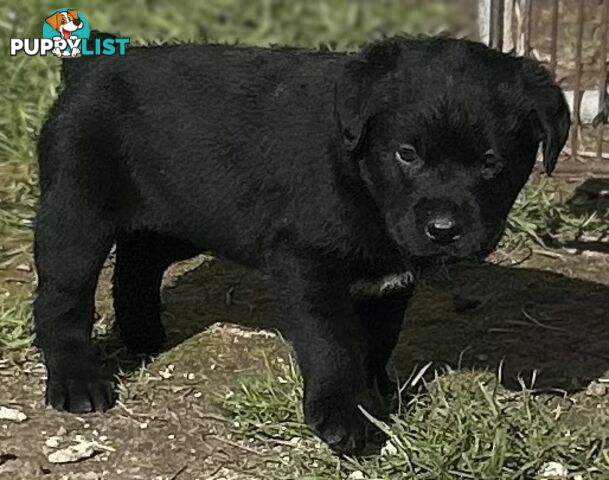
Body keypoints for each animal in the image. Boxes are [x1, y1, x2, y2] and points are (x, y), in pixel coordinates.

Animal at [35, 36, 568, 454]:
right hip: (75, 213)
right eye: (407, 154)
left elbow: (379, 337)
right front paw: (343, 415)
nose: (442, 228)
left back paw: (144, 333)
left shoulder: (389, 280)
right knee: (62, 298)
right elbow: (333, 342)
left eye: (492, 163)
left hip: (180, 218)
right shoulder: (307, 264)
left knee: (138, 263)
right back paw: (77, 381)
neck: (361, 175)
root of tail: (90, 66)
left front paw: (378, 394)